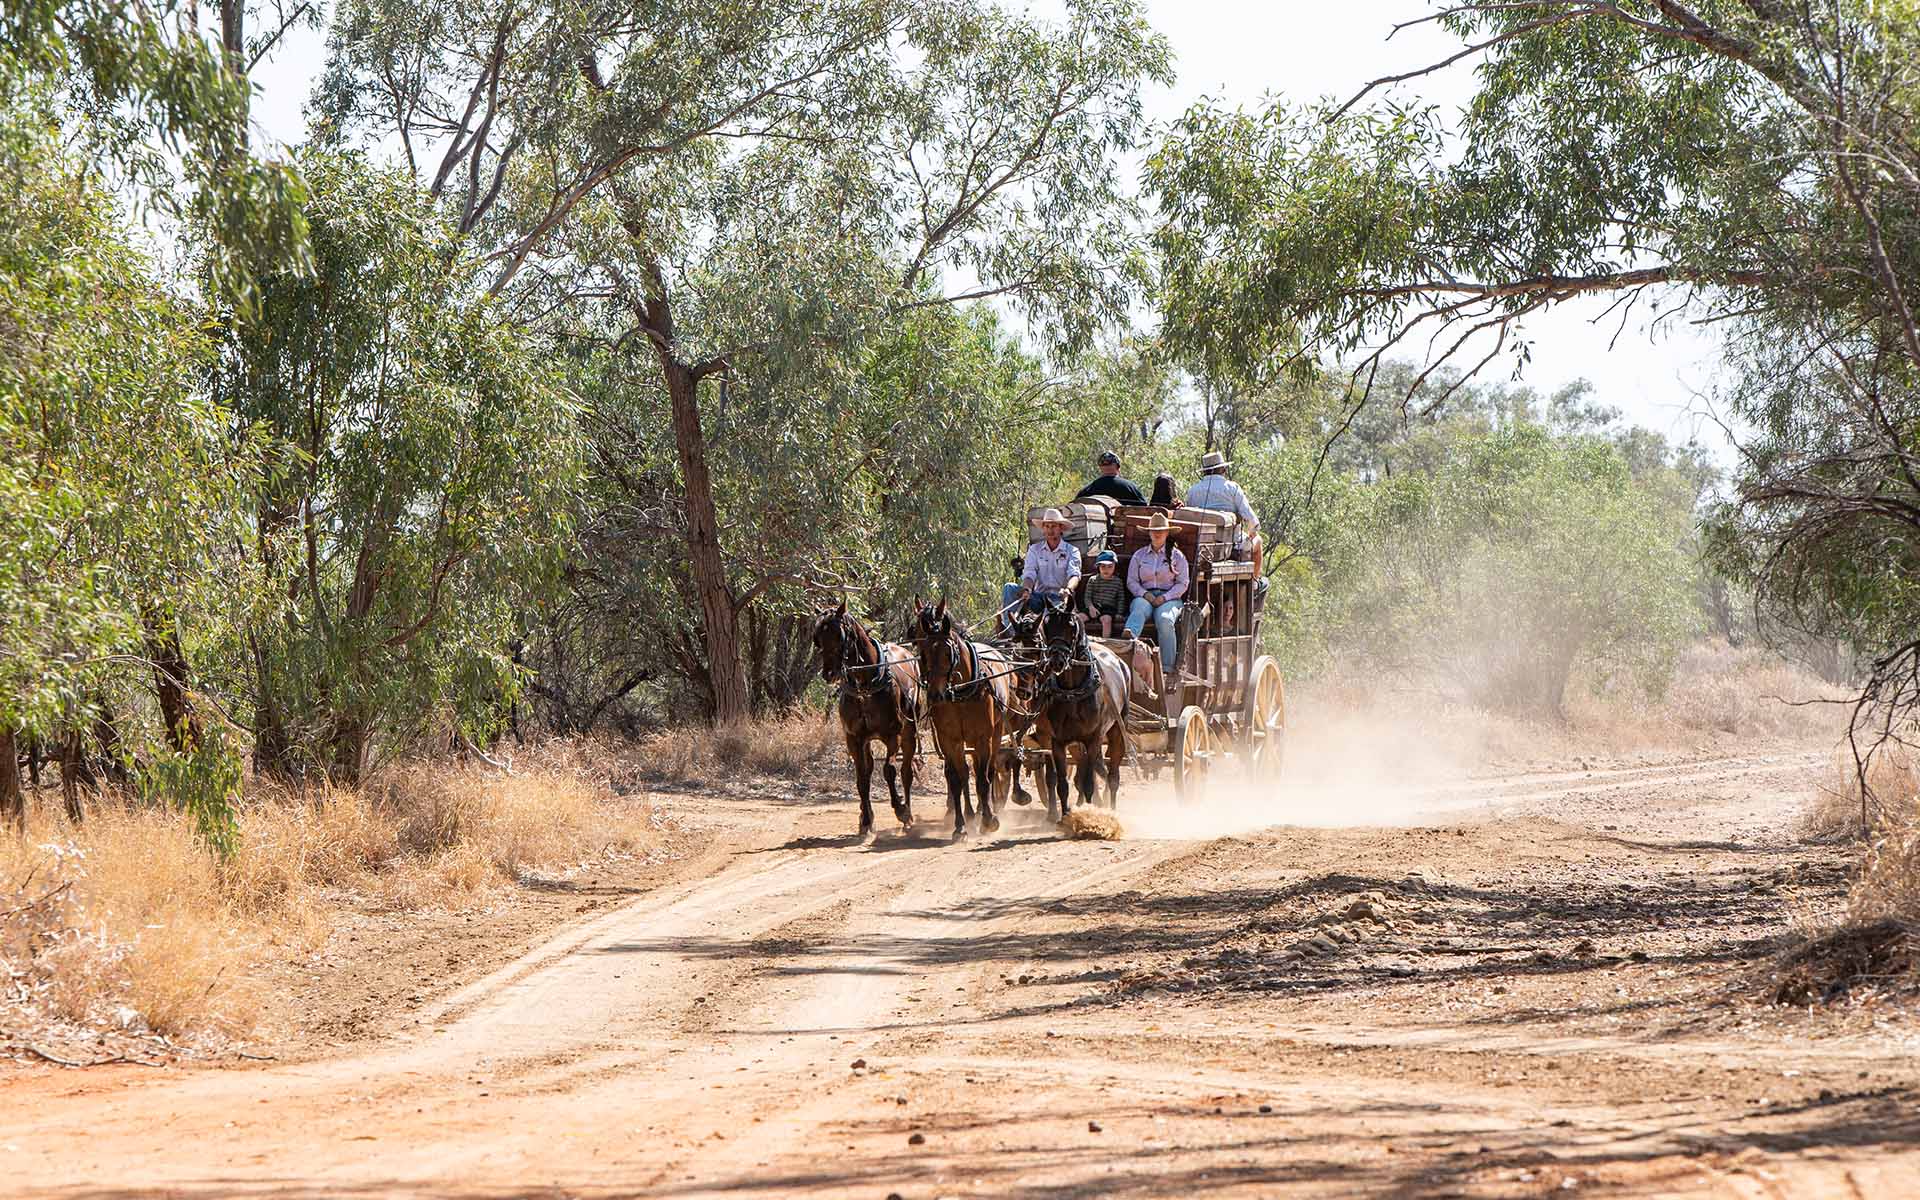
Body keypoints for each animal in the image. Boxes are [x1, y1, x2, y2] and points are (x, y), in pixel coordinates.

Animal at [810, 602, 921, 837]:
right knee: (868, 770)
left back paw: (908, 816)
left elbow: (889, 770)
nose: (829, 673)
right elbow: (861, 778)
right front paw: (867, 820)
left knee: (906, 771)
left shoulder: (892, 735)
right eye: (817, 637)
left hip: (909, 732)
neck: (865, 684)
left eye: (839, 635)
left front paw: (900, 809)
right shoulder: (854, 738)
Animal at [917, 595, 1021, 837]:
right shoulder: (949, 740)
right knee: (968, 772)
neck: (962, 692)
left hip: (995, 734)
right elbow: (957, 778)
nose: (935, 695)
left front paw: (989, 821)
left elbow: (983, 779)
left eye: (948, 653)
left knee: (990, 770)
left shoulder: (982, 738)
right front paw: (960, 826)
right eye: (924, 653)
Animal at [1044, 602, 1128, 810]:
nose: (1057, 660)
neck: (1073, 692)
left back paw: (1112, 809)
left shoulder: (1092, 739)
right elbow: (1063, 786)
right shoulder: (1057, 742)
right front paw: (1065, 814)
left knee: (1113, 777)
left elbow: (1089, 784)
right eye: (1046, 626)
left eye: (1071, 627)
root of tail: (1118, 660)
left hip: (1116, 730)